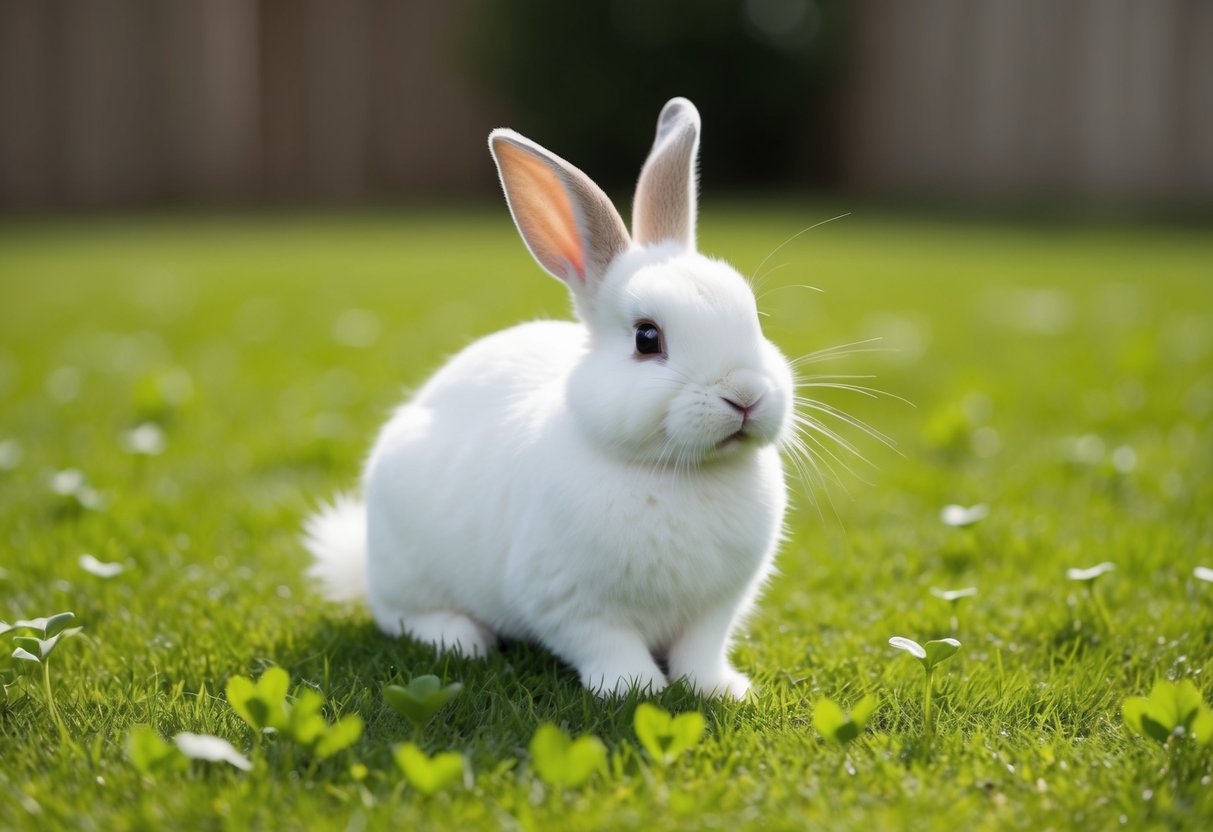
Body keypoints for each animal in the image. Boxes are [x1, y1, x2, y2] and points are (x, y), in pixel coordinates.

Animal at [304, 97, 793, 698]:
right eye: (647, 338)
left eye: (754, 318)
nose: (745, 396)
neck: (677, 472)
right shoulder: (574, 604)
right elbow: (609, 647)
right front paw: (634, 690)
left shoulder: (715, 610)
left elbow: (700, 653)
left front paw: (722, 691)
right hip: (408, 572)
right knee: (399, 616)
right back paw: (462, 638)